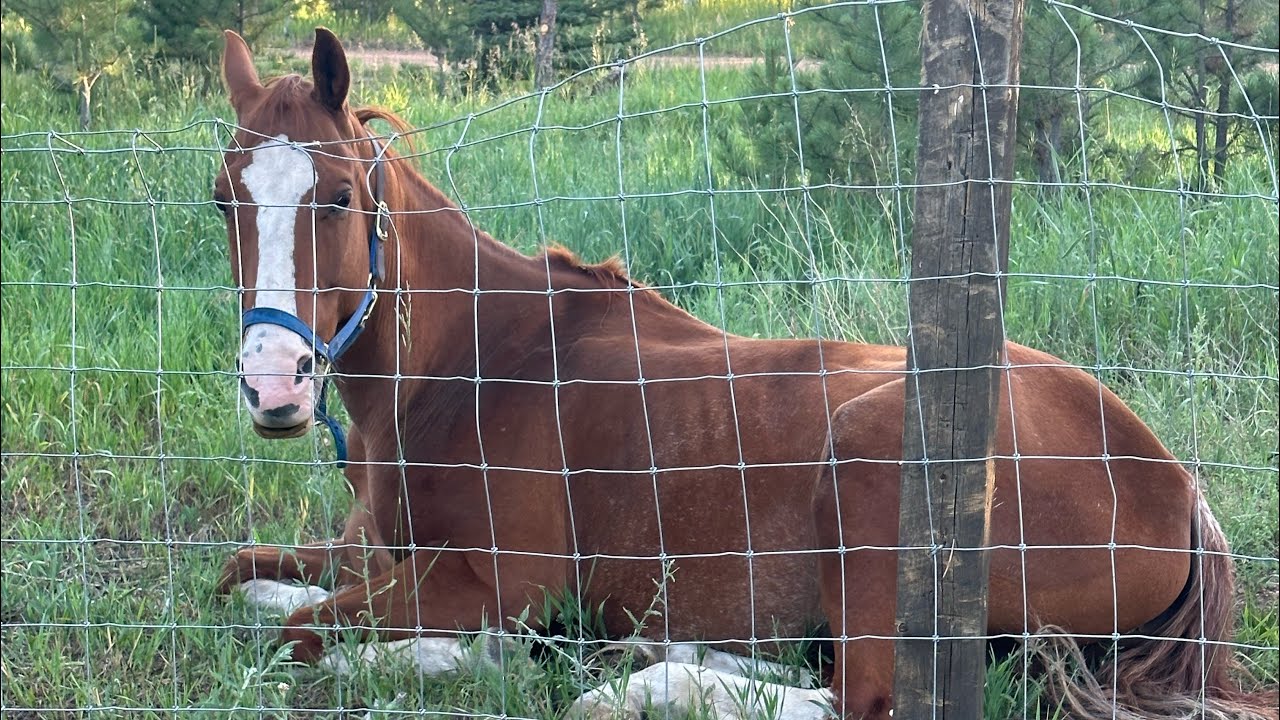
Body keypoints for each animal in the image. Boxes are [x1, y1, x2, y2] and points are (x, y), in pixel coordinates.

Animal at [213, 28, 1273, 720]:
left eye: (338, 196)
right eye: (223, 197)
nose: (274, 387)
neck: (478, 367)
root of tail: (1174, 485)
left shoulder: (496, 581)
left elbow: (305, 638)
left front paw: (472, 661)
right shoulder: (370, 556)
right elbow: (244, 585)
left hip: (873, 467)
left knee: (860, 698)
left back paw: (635, 683)